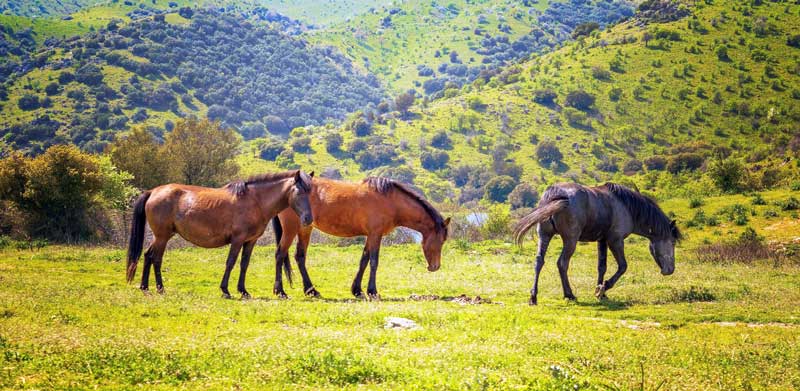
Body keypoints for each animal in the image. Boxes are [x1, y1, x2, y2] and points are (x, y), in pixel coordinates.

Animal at [126, 170, 314, 298]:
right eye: (299, 192)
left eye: (311, 193)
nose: (308, 219)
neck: (255, 201)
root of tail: (153, 192)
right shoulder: (237, 240)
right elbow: (230, 262)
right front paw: (225, 290)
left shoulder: (250, 241)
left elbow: (244, 264)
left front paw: (243, 291)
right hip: (162, 237)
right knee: (156, 258)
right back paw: (160, 287)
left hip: (161, 236)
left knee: (148, 255)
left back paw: (144, 286)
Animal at [272, 178, 450, 300]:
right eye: (441, 240)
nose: (435, 267)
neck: (390, 201)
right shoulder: (376, 234)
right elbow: (373, 262)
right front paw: (373, 291)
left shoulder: (370, 236)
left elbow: (363, 260)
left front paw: (357, 290)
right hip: (291, 229)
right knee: (280, 254)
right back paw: (280, 291)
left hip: (305, 229)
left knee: (300, 257)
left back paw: (311, 290)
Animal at [512, 184, 680, 306]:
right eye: (672, 242)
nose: (670, 270)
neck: (626, 207)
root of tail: (554, 194)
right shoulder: (615, 240)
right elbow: (623, 266)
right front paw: (602, 288)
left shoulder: (602, 240)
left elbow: (602, 267)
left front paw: (601, 292)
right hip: (570, 240)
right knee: (562, 263)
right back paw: (569, 295)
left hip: (544, 235)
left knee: (539, 261)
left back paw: (533, 297)